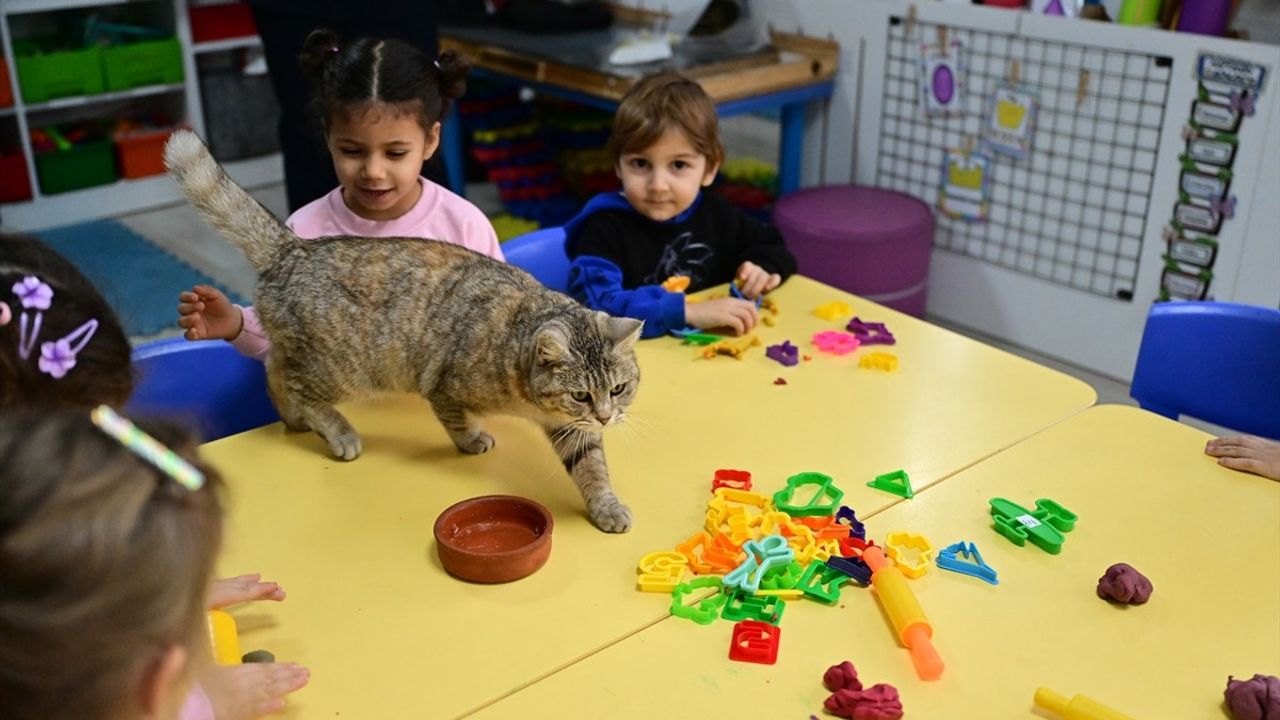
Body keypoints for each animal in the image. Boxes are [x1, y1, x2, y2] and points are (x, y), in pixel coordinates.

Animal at [162, 128, 640, 530]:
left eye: (617, 389)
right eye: (581, 394)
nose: (606, 416)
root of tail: (293, 248)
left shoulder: (573, 430)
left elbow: (591, 466)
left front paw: (606, 504)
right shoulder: (444, 387)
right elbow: (456, 420)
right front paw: (471, 439)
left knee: (274, 368)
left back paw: (293, 418)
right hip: (343, 368)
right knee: (299, 385)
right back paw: (337, 431)